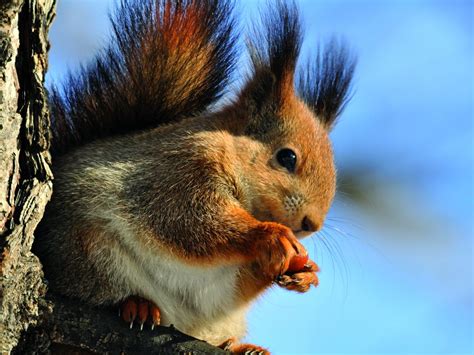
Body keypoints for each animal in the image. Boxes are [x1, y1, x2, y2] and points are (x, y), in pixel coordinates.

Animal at [35, 0, 356, 352]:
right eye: (287, 157)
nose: (311, 224)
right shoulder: (179, 171)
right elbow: (189, 222)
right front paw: (268, 235)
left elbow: (240, 279)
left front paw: (306, 271)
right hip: (90, 250)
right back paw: (136, 305)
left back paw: (240, 347)